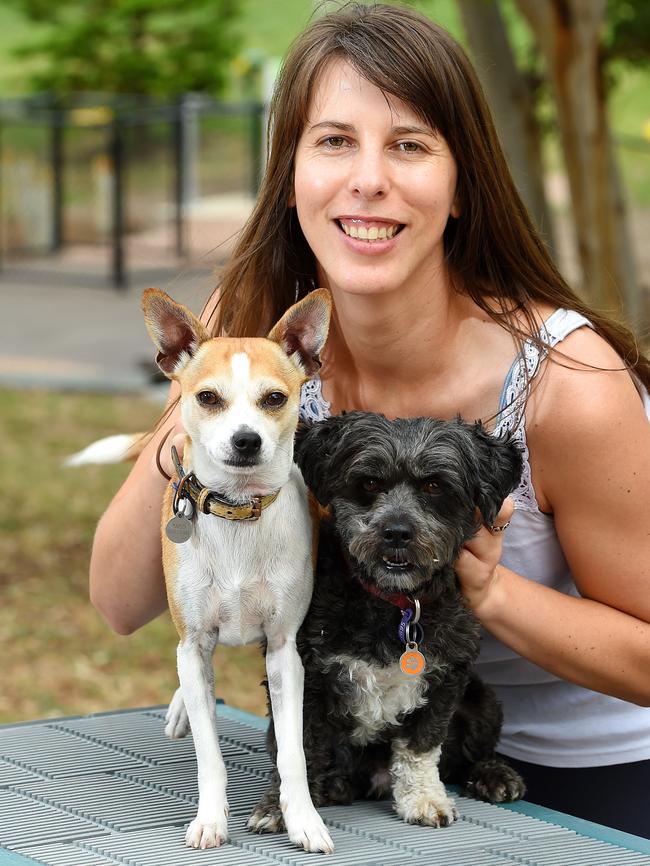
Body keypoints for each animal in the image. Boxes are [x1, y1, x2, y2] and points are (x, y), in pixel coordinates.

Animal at [73, 288, 332, 852]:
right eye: (208, 398)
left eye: (274, 399)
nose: (246, 440)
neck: (237, 513)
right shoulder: (193, 643)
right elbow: (210, 756)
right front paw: (211, 819)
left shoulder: (284, 652)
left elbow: (293, 753)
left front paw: (303, 818)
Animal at [248, 412, 528, 832]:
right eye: (368, 483)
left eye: (434, 485)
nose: (397, 532)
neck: (394, 604)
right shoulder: (306, 676)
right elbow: (302, 747)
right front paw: (284, 808)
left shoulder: (448, 676)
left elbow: (421, 745)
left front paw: (424, 798)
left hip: (484, 702)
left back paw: (494, 775)